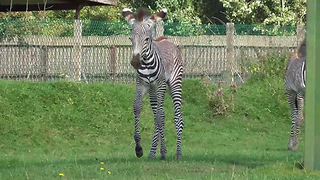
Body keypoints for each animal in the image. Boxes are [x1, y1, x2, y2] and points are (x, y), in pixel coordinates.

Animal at [122, 7, 185, 160]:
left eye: (146, 39)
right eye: (131, 39)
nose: (135, 62)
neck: (146, 63)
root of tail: (167, 40)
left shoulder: (160, 85)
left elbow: (160, 116)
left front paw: (164, 151)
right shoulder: (142, 85)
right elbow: (138, 108)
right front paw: (139, 148)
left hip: (174, 83)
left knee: (177, 116)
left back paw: (178, 153)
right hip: (153, 91)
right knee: (158, 114)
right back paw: (152, 153)